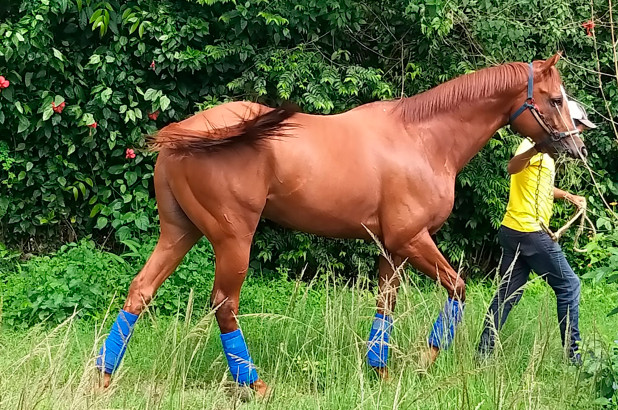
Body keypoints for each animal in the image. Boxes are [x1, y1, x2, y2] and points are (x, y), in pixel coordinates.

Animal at [96, 54, 584, 394]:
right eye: (555, 100)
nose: (577, 147)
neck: (422, 138)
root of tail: (184, 132)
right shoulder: (413, 239)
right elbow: (458, 289)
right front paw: (424, 360)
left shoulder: (392, 247)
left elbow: (385, 305)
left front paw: (381, 371)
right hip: (233, 237)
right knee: (224, 304)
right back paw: (254, 383)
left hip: (180, 233)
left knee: (140, 290)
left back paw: (103, 375)